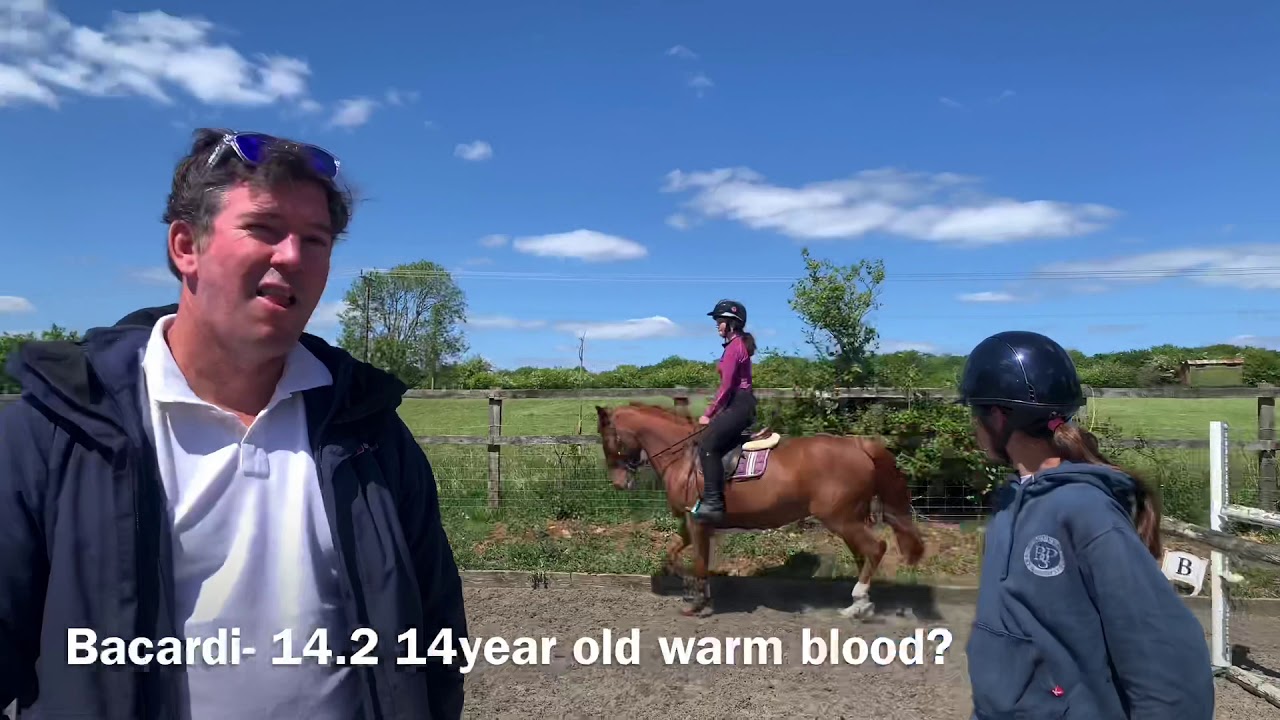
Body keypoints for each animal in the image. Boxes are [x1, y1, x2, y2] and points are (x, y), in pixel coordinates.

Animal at [594, 401, 926, 619]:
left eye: (607, 439)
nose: (619, 483)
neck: (683, 455)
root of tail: (858, 446)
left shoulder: (698, 521)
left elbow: (698, 562)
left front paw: (697, 602)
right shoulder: (692, 521)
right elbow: (673, 554)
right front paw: (692, 588)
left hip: (842, 519)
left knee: (876, 548)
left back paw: (859, 601)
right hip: (850, 519)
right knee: (864, 554)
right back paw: (859, 602)